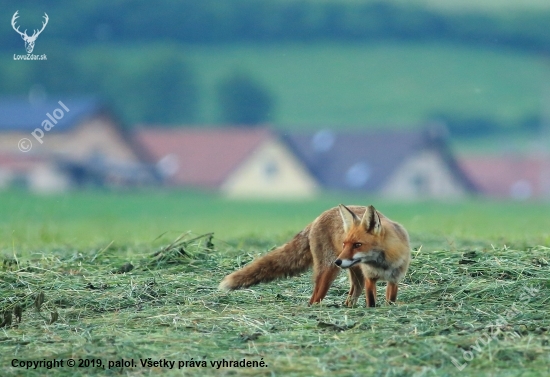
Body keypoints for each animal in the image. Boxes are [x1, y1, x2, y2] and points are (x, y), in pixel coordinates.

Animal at [219, 204, 410, 306]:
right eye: (345, 244)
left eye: (357, 245)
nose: (338, 261)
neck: (382, 264)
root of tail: (318, 217)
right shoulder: (370, 279)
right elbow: (371, 302)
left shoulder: (394, 279)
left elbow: (390, 300)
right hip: (327, 272)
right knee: (314, 298)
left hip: (352, 272)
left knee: (354, 291)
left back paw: (348, 307)